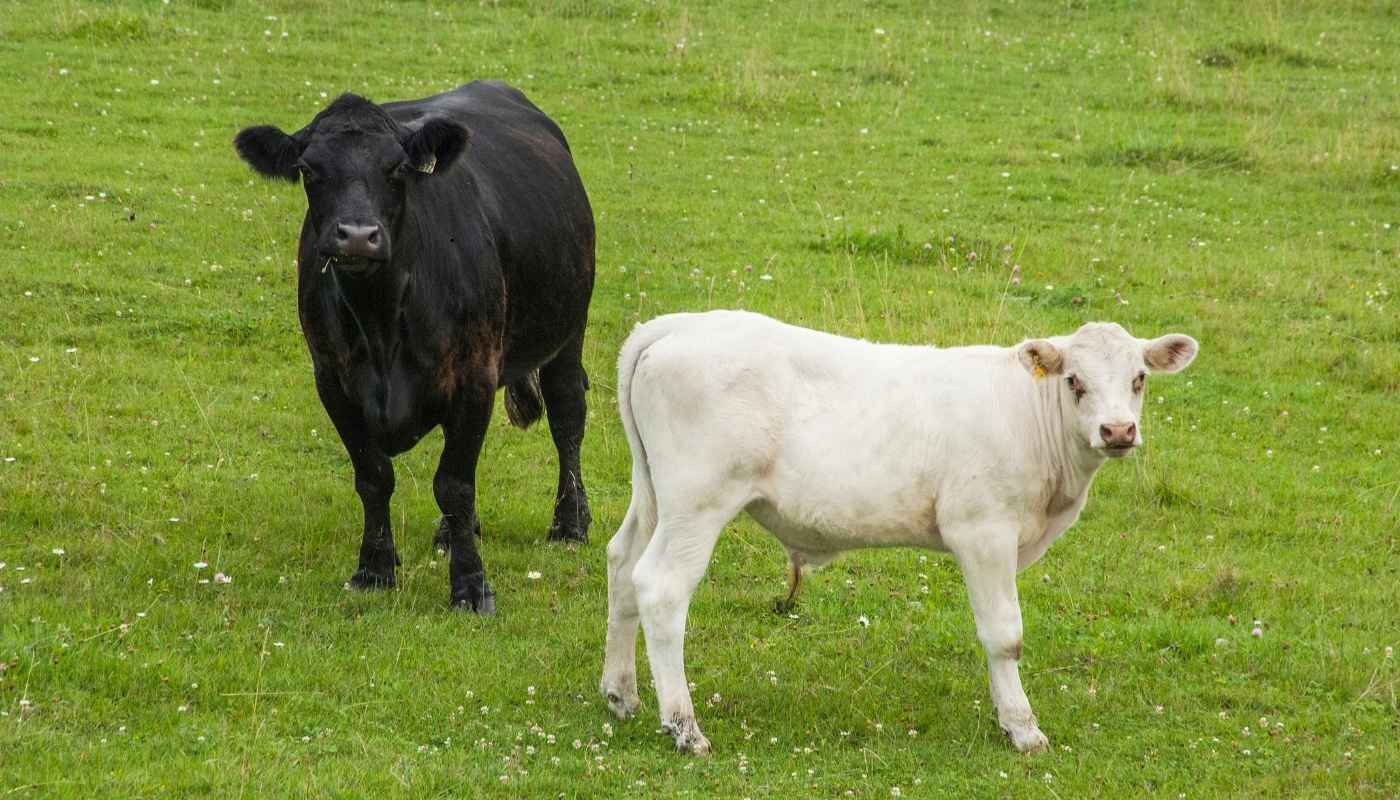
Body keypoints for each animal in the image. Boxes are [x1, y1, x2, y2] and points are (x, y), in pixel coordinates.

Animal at [233, 81, 595, 612]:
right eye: (308, 169)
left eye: (397, 168)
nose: (357, 236)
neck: (382, 317)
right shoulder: (332, 380)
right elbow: (374, 476)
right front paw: (375, 569)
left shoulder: (474, 375)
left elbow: (454, 483)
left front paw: (471, 586)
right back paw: (451, 534)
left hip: (567, 329)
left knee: (567, 416)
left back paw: (569, 524)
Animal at [599, 311, 1198, 754]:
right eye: (1075, 382)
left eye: (1139, 379)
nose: (1118, 430)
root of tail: (675, 326)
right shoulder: (983, 531)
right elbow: (1004, 634)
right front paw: (1022, 727)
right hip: (697, 503)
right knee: (661, 588)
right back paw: (684, 728)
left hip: (654, 497)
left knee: (622, 565)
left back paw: (621, 695)